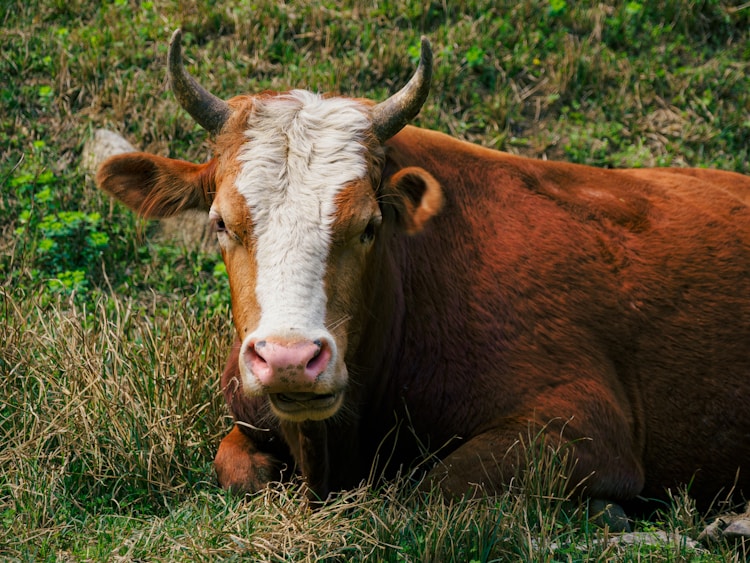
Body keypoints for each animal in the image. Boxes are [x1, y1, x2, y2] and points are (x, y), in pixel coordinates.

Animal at [95, 29, 750, 516]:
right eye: (221, 223)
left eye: (369, 225)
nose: (289, 359)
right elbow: (234, 467)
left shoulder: (588, 424)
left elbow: (436, 484)